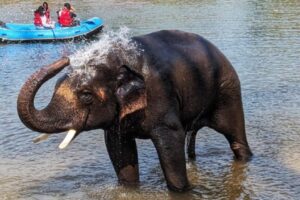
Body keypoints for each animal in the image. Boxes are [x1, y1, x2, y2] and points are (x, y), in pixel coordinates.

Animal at [17, 29, 252, 191]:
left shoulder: (160, 93)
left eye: (86, 95)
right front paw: (128, 189)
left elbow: (170, 140)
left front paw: (182, 190)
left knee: (235, 137)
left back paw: (245, 158)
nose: (66, 59)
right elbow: (119, 148)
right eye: (56, 86)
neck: (116, 60)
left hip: (228, 90)